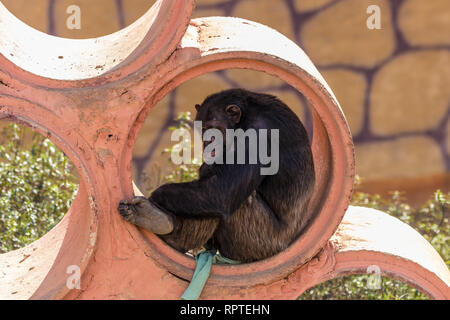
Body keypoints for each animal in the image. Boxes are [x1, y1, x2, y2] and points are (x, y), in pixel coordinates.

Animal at [119, 88, 316, 262]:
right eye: (203, 129)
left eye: (213, 128)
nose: (208, 143)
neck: (246, 117)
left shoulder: (257, 135)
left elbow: (220, 192)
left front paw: (154, 199)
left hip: (259, 242)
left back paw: (166, 228)